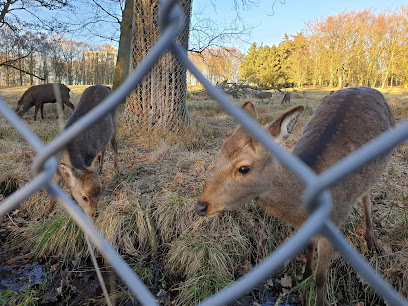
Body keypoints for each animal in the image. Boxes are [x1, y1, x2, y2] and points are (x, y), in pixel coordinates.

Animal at [47, 83, 118, 218]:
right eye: (84, 197)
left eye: (99, 194)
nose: (95, 214)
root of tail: (106, 86)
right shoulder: (57, 171)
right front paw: (44, 214)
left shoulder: (89, 157)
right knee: (104, 148)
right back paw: (101, 168)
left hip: (114, 124)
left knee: (114, 145)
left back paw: (117, 170)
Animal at [194, 87, 396, 304]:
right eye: (217, 158)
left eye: (244, 168)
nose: (201, 206)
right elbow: (308, 248)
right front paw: (303, 278)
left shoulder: (334, 221)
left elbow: (321, 277)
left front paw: (318, 297)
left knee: (367, 196)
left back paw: (372, 241)